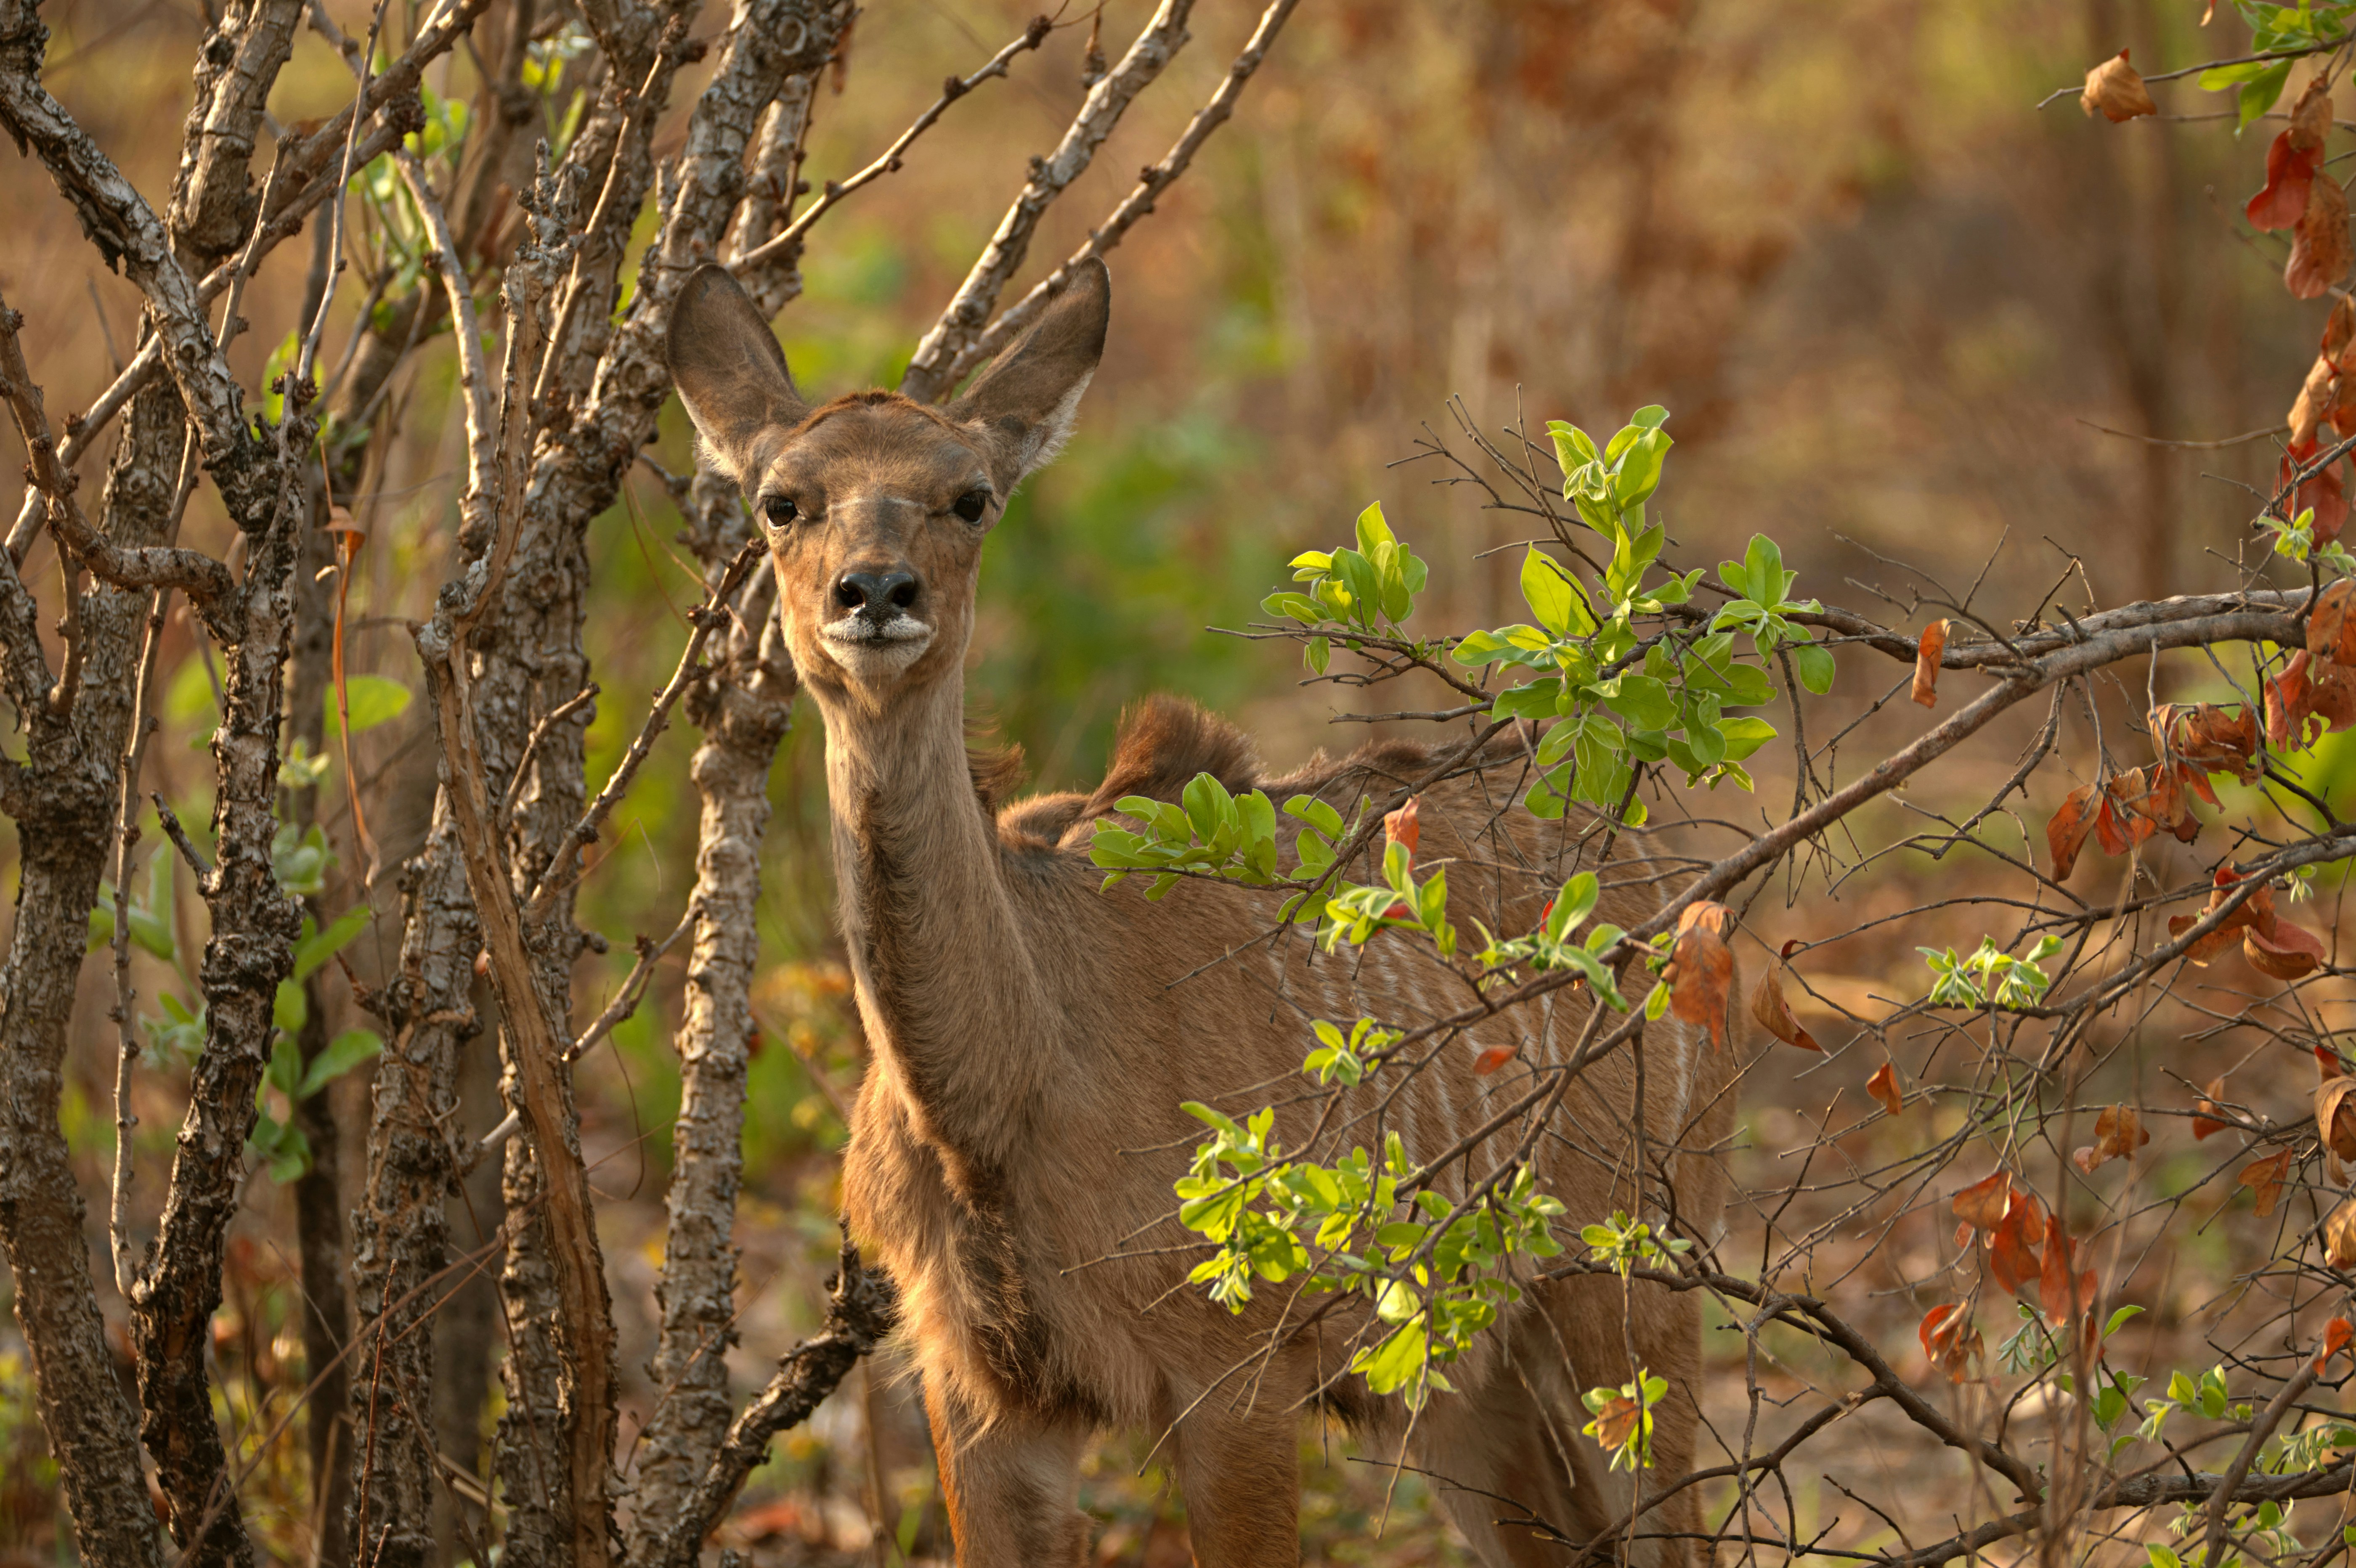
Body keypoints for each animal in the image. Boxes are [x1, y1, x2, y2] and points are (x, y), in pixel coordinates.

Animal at [665, 257, 1739, 1568]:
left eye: (970, 497)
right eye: (782, 501)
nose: (875, 592)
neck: (1010, 1099)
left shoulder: (1240, 1368)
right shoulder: (982, 1391)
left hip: (1631, 1271)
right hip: (1462, 1374)